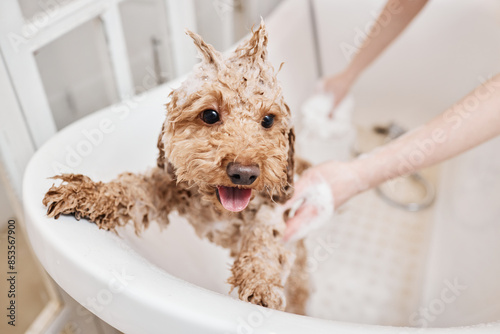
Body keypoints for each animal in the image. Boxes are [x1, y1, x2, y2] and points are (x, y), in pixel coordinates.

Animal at [43, 22, 308, 314]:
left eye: (268, 120)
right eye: (210, 115)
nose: (244, 173)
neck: (219, 212)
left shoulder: (272, 208)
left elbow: (264, 239)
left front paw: (260, 283)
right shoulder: (169, 182)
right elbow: (132, 189)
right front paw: (85, 194)